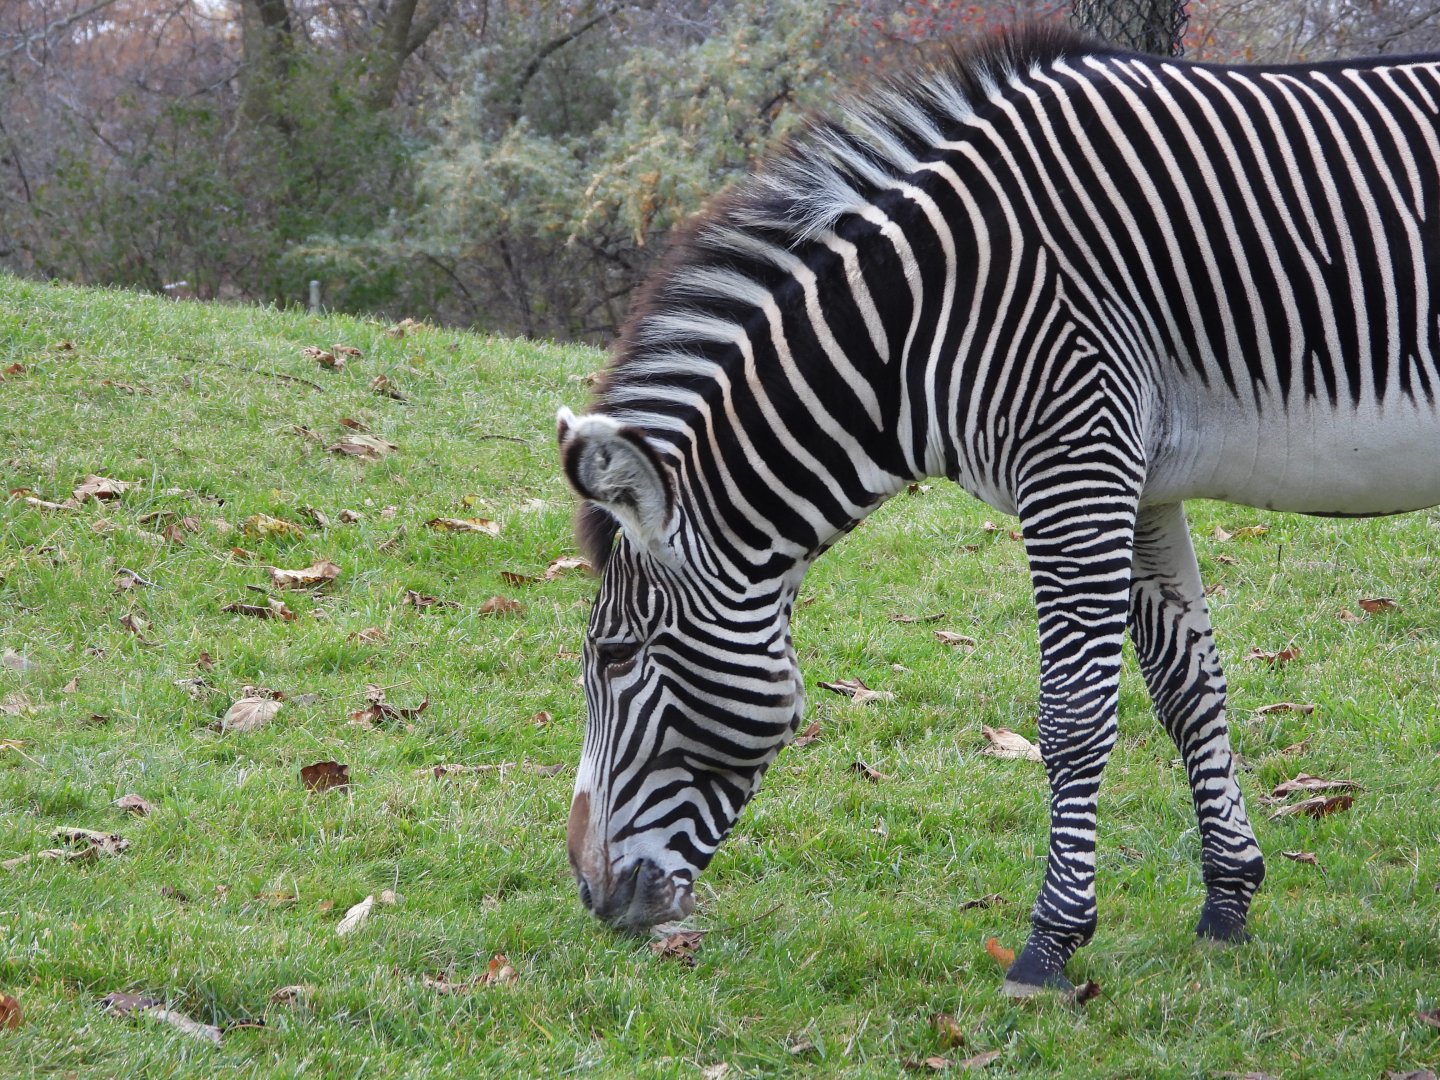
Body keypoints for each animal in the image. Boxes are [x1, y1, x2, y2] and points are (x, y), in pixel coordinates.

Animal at [556, 24, 1440, 995]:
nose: (590, 895)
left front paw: (1051, 943)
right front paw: (1228, 902)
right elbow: (1188, 690)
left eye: (616, 654)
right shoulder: (1143, 478)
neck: (918, 323)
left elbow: (1074, 714)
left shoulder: (1075, 458)